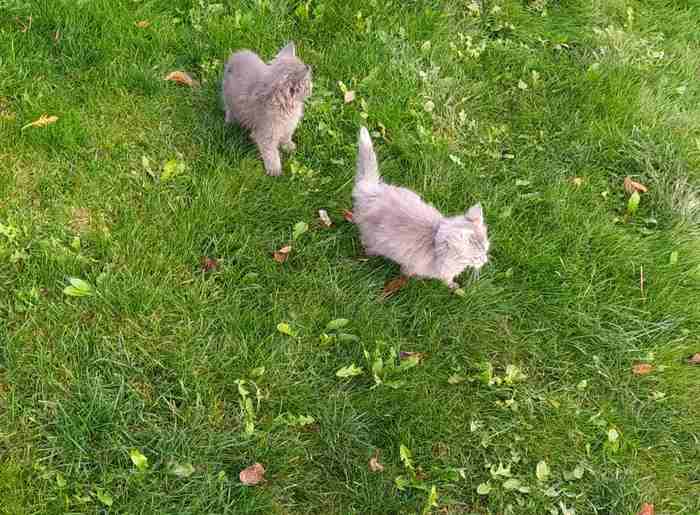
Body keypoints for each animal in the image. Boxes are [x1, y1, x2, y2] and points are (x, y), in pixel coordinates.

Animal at [222, 42, 312, 176]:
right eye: (308, 83)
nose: (312, 89)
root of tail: (237, 54)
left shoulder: (289, 125)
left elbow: (287, 135)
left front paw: (288, 146)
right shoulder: (266, 133)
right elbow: (270, 152)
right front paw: (275, 170)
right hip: (229, 98)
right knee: (229, 110)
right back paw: (229, 123)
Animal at [352, 127, 489, 289]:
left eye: (486, 250)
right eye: (476, 257)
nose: (485, 261)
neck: (436, 244)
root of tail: (372, 190)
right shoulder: (427, 269)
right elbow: (444, 279)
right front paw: (452, 286)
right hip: (373, 238)